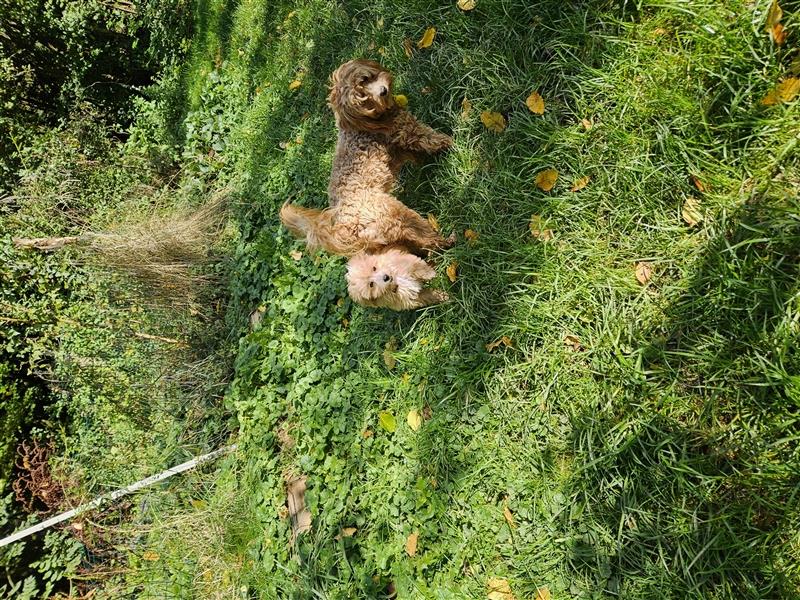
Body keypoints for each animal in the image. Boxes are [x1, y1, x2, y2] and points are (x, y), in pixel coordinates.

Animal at [280, 56, 456, 260]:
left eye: (364, 80)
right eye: (363, 99)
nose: (383, 91)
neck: (363, 123)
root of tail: (344, 229)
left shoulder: (400, 146)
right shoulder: (408, 130)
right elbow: (431, 138)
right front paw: (453, 141)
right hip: (398, 214)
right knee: (427, 239)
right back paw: (447, 241)